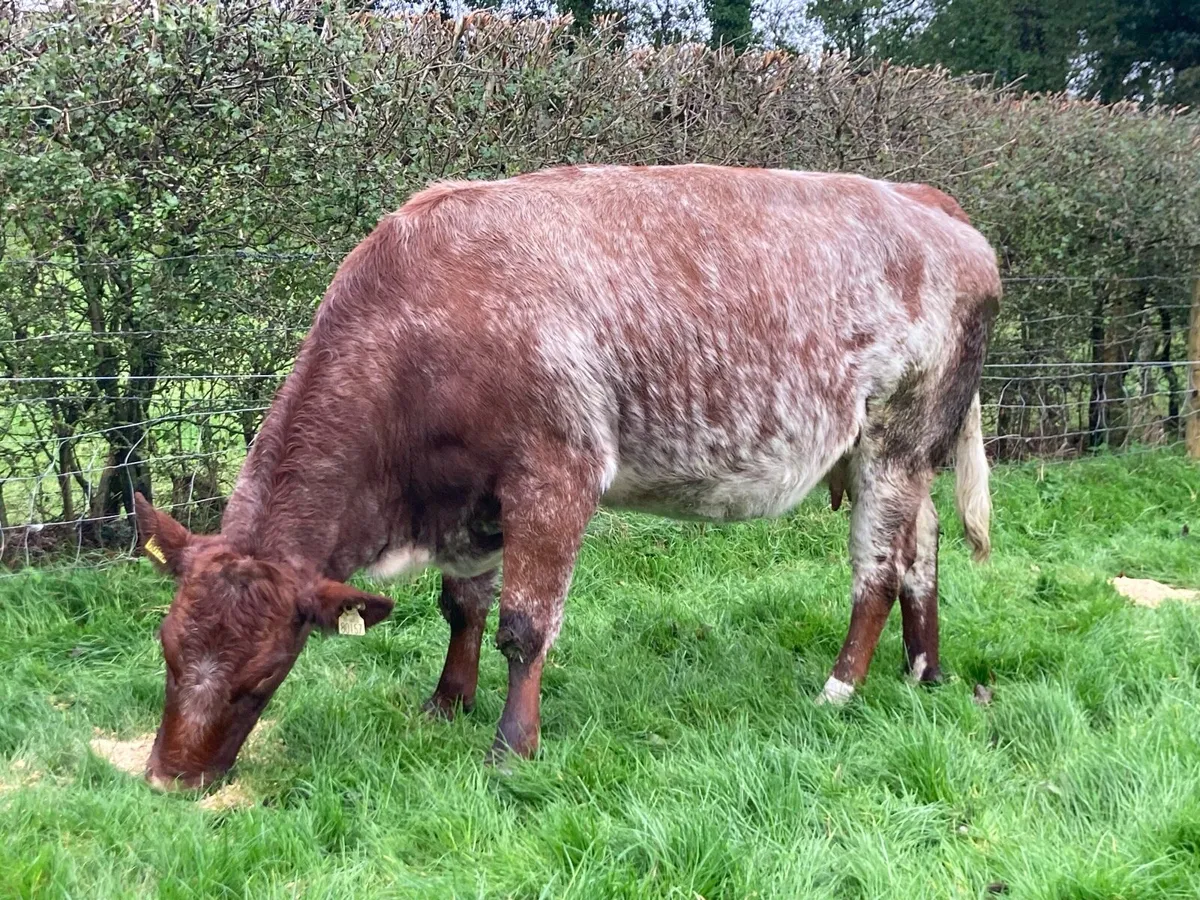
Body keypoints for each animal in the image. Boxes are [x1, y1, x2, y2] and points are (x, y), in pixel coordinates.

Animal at [134, 163, 999, 789]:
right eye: (168, 652)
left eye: (262, 677)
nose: (168, 782)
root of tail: (927, 201)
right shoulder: (472, 497)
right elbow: (463, 605)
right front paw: (447, 702)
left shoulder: (556, 472)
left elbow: (524, 625)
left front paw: (512, 748)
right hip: (902, 451)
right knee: (921, 550)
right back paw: (924, 670)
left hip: (896, 436)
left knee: (877, 571)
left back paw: (840, 687)